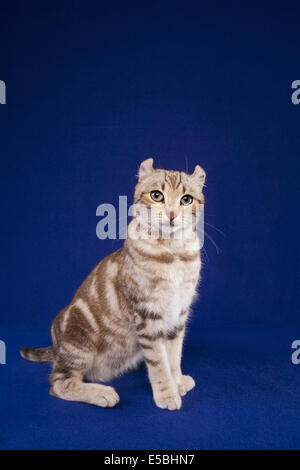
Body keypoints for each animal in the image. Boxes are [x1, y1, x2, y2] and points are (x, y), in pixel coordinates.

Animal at [19, 160, 205, 410]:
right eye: (157, 195)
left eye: (186, 199)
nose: (172, 215)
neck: (174, 253)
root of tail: (56, 347)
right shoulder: (148, 315)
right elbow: (159, 363)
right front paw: (167, 393)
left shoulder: (178, 314)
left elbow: (174, 355)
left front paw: (177, 380)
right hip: (79, 336)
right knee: (59, 383)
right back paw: (102, 393)